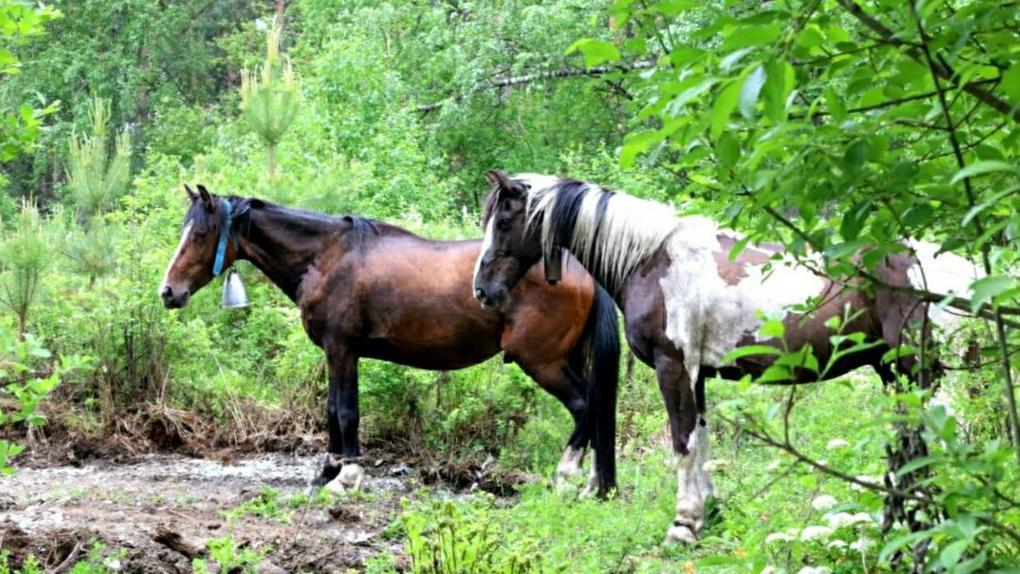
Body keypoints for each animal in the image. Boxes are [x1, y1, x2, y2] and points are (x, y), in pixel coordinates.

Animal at [159, 186, 620, 495]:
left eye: (199, 235)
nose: (168, 292)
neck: (327, 257)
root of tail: (582, 269)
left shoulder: (342, 349)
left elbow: (346, 411)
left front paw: (347, 476)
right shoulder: (338, 354)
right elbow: (332, 410)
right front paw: (327, 471)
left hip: (541, 362)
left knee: (585, 407)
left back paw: (567, 475)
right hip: (565, 360)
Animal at [473, 169, 975, 542]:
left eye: (504, 222)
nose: (482, 290)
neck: (652, 258)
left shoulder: (674, 367)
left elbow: (682, 443)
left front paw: (682, 525)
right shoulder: (697, 374)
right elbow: (702, 440)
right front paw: (707, 513)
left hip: (919, 370)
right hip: (895, 371)